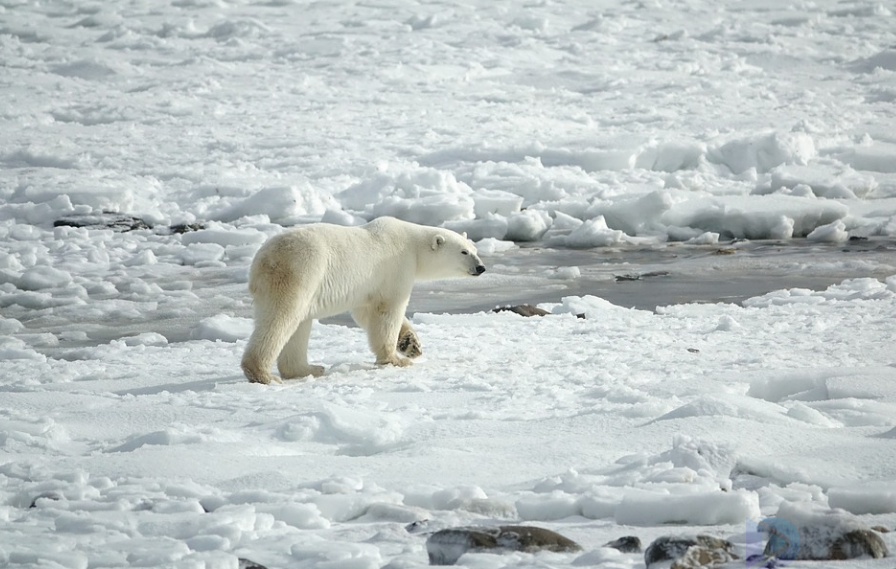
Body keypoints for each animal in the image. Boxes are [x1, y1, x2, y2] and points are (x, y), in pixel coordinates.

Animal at [242, 215, 486, 384]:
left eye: (474, 249)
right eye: (464, 252)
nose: (481, 267)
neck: (413, 244)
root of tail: (261, 261)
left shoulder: (367, 287)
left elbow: (366, 313)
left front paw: (411, 345)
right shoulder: (396, 267)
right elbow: (388, 310)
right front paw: (396, 359)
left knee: (299, 324)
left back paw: (310, 368)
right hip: (300, 271)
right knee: (282, 318)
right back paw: (263, 374)